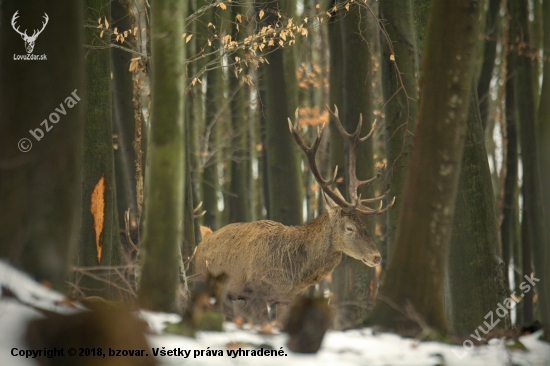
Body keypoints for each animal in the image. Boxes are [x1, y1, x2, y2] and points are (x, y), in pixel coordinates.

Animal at [196, 105, 394, 320]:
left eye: (363, 224)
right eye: (349, 228)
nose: (377, 257)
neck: (294, 274)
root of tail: (201, 241)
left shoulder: (286, 298)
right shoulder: (255, 291)